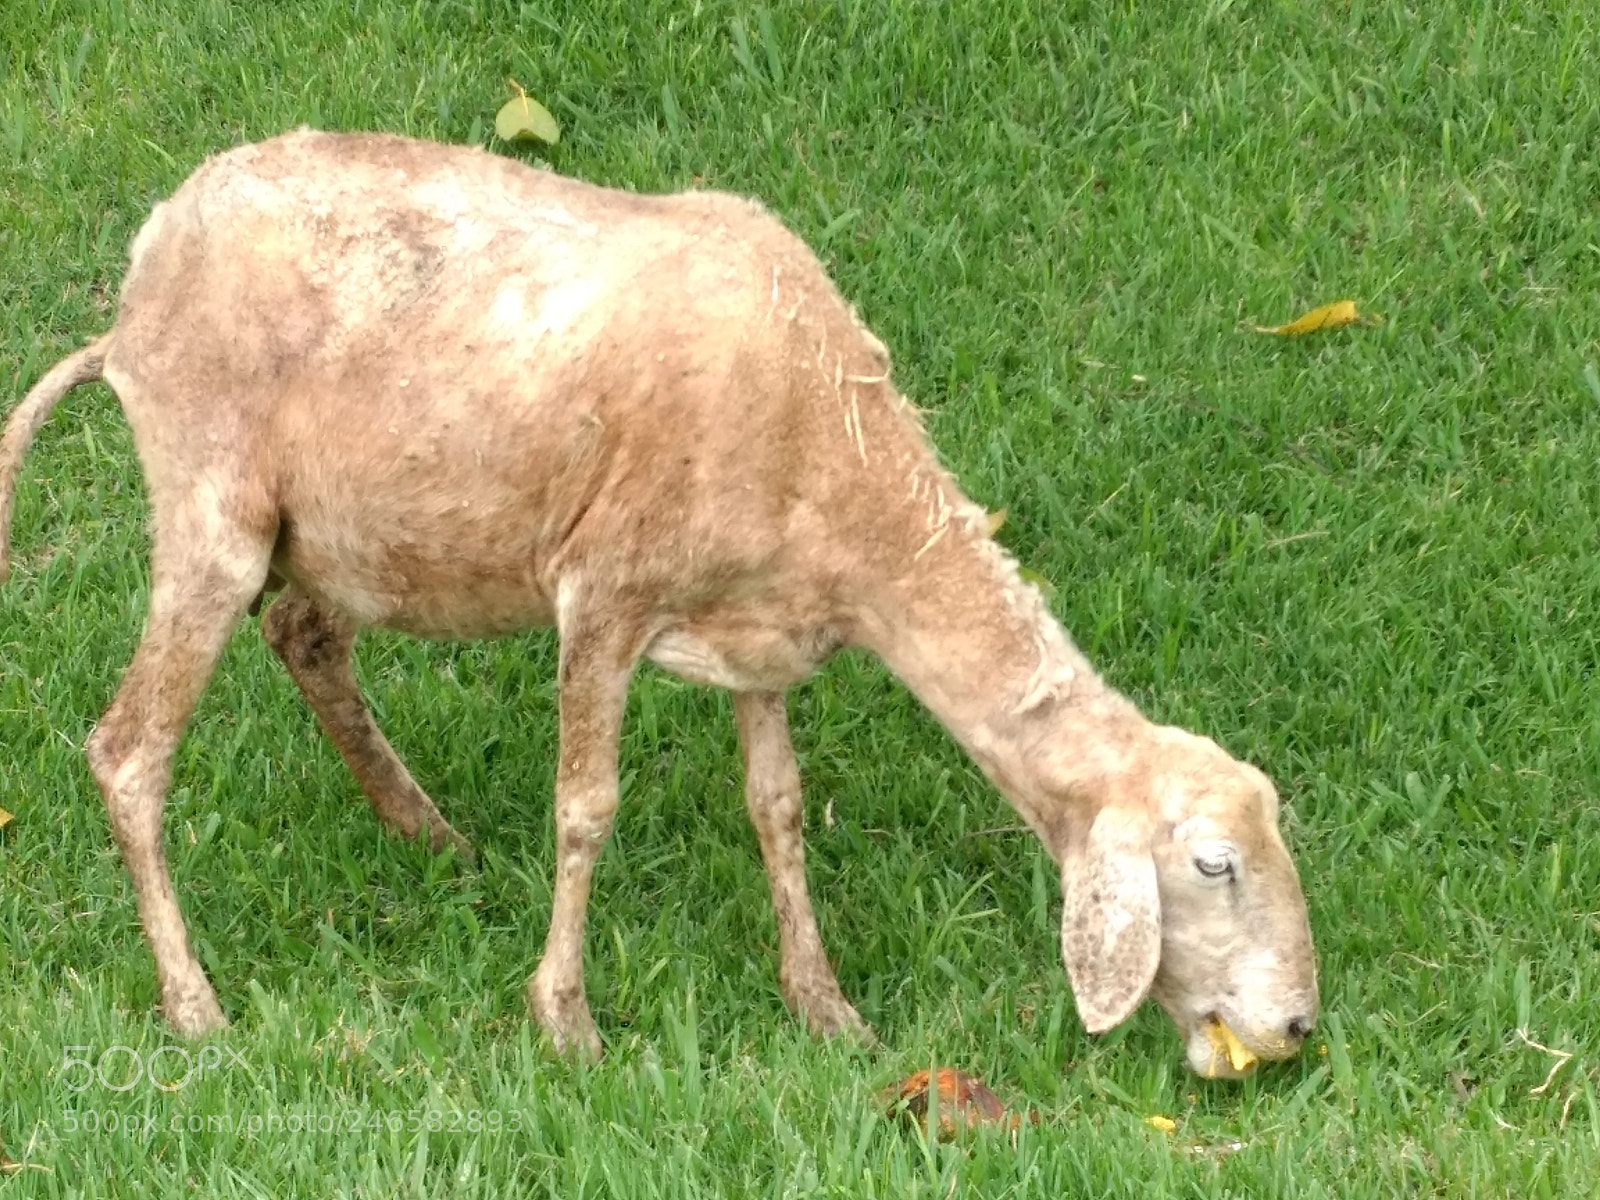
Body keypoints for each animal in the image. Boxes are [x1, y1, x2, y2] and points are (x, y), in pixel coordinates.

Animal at [0, 129, 1317, 1075]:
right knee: (129, 751)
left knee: (303, 636)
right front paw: (567, 1023)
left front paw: (825, 1009)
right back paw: (194, 1007)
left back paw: (427, 834)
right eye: (1212, 866)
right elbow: (587, 808)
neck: (837, 452)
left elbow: (778, 809)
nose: (1299, 1028)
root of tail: (135, 289)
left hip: (338, 534)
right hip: (211, 502)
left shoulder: (768, 638)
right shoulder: (604, 591)